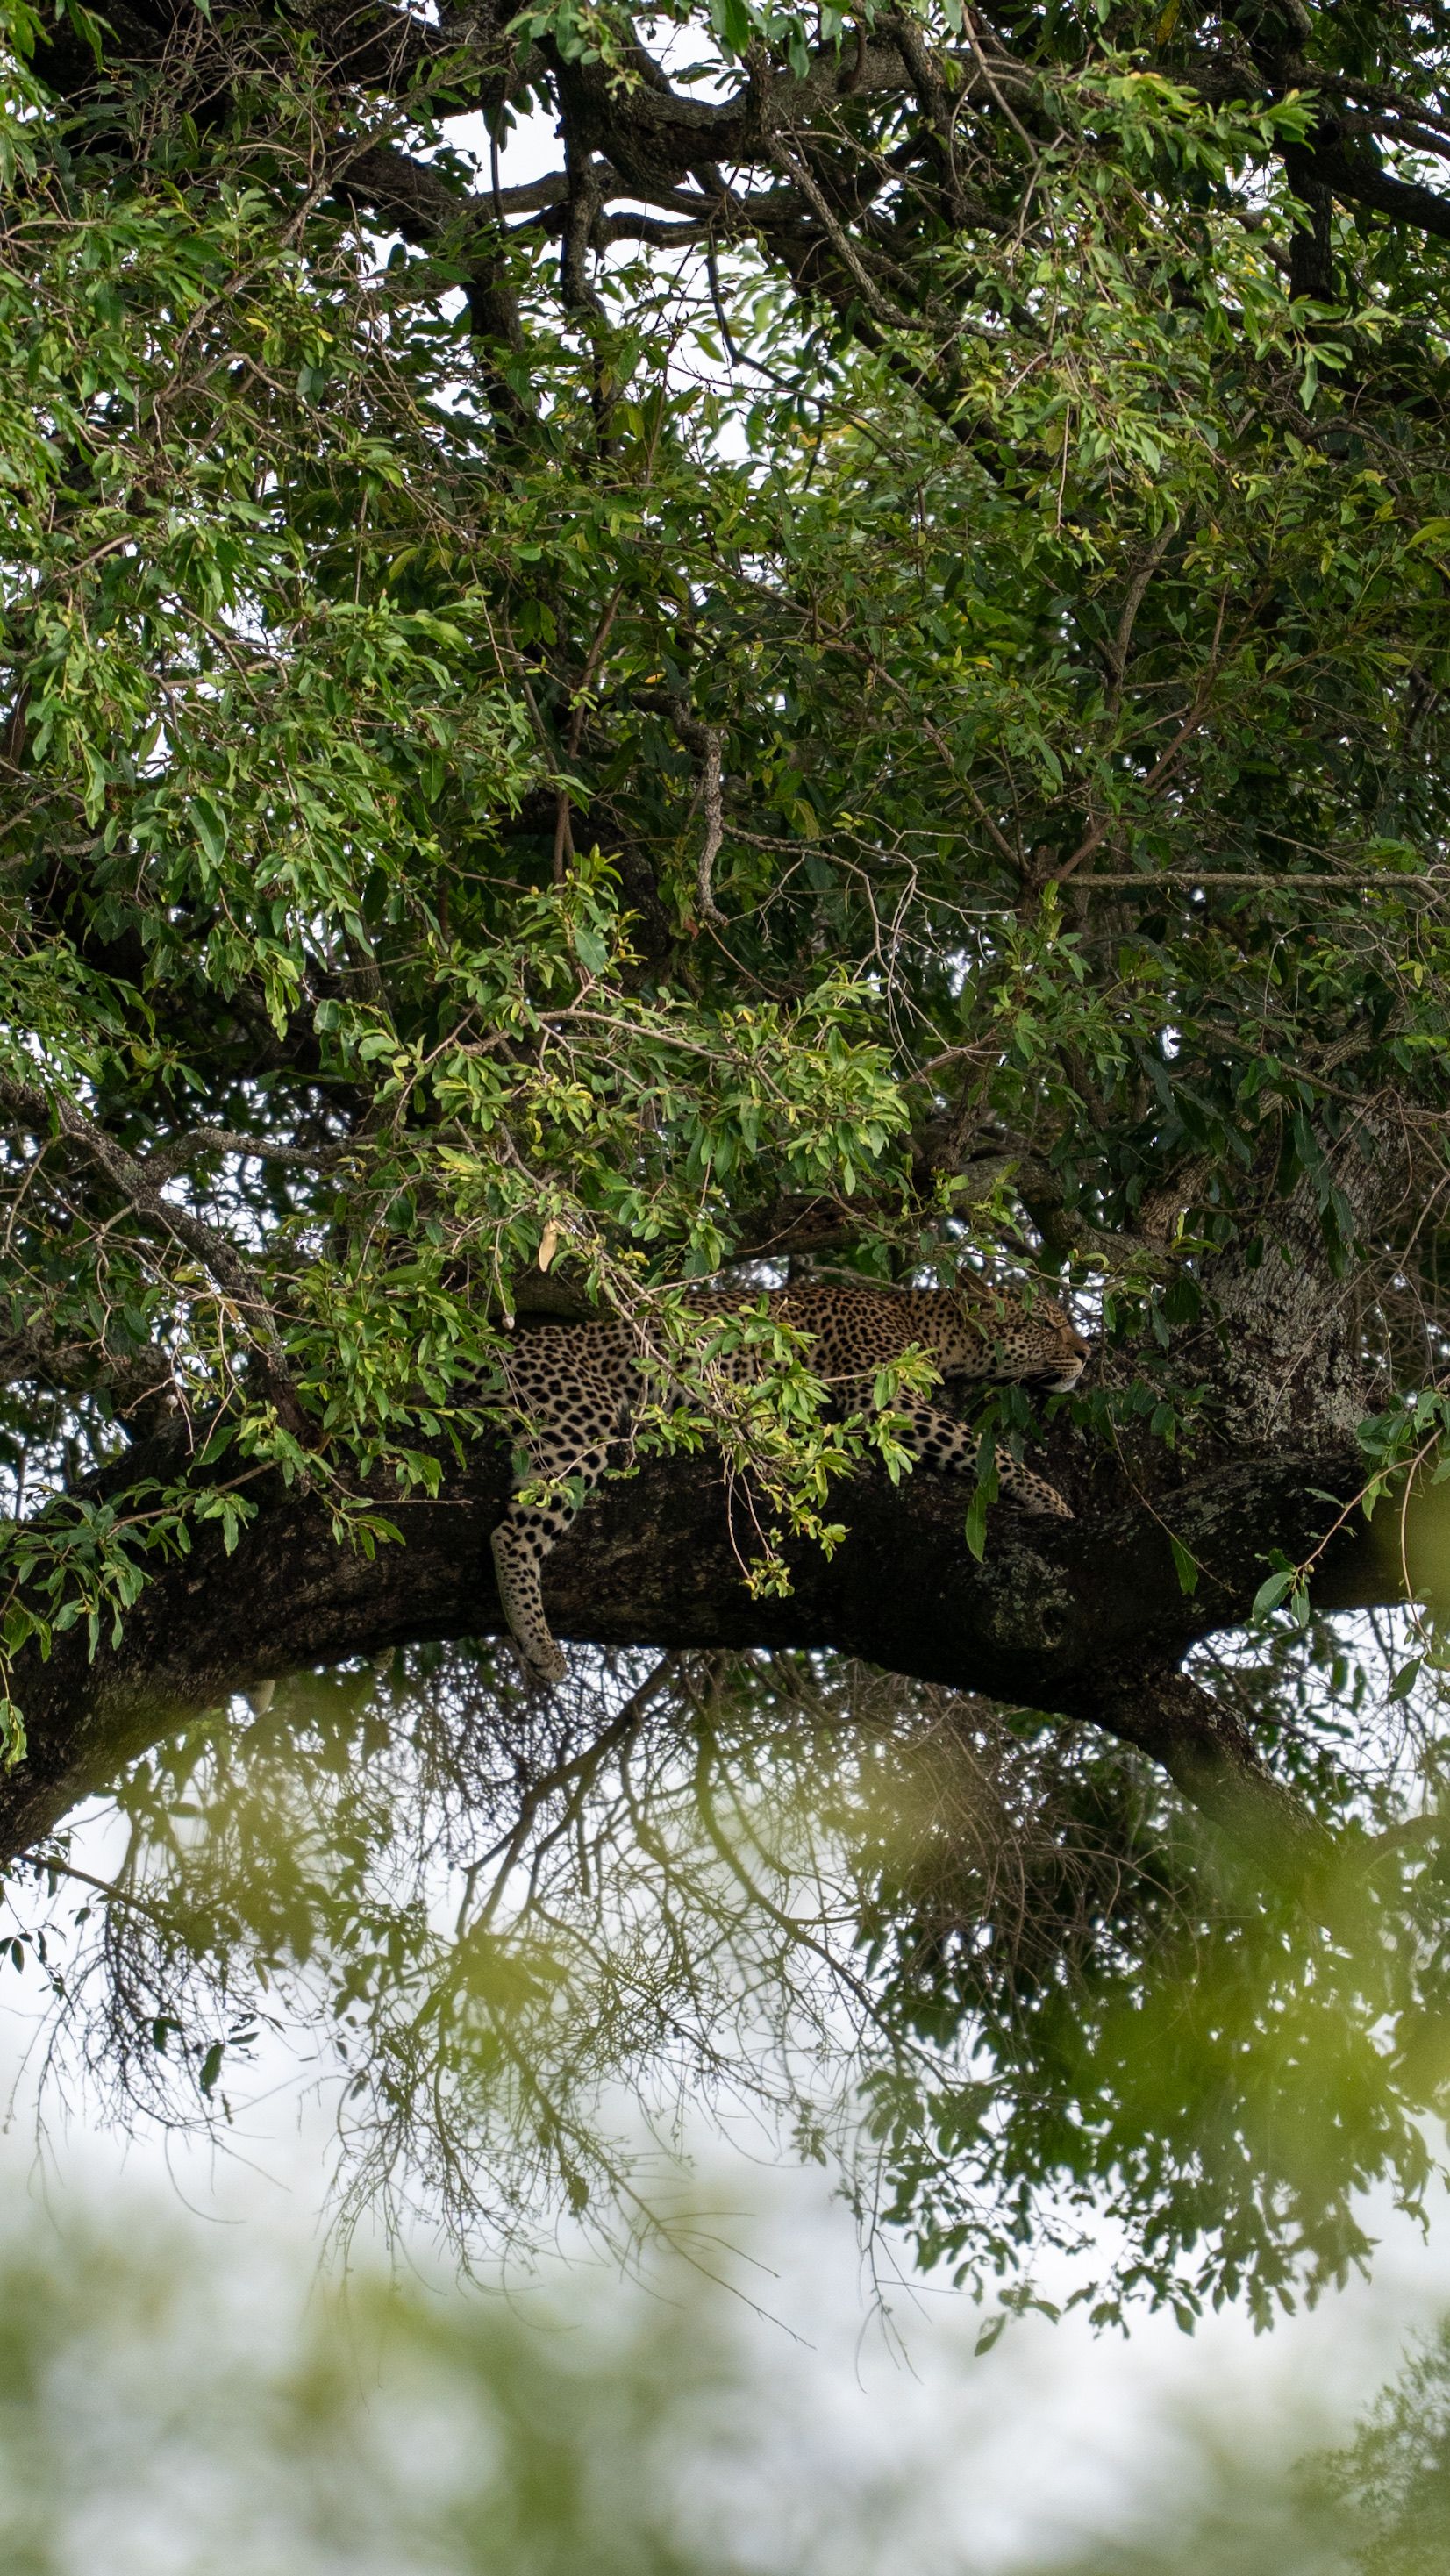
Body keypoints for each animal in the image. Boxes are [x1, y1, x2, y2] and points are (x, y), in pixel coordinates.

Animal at [489, 1279, 1091, 1684]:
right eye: (1045, 1324)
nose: (1086, 1354)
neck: (927, 1325)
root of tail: (518, 1344)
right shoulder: (886, 1399)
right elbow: (983, 1451)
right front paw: (1049, 1498)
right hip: (579, 1416)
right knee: (512, 1533)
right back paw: (539, 1644)